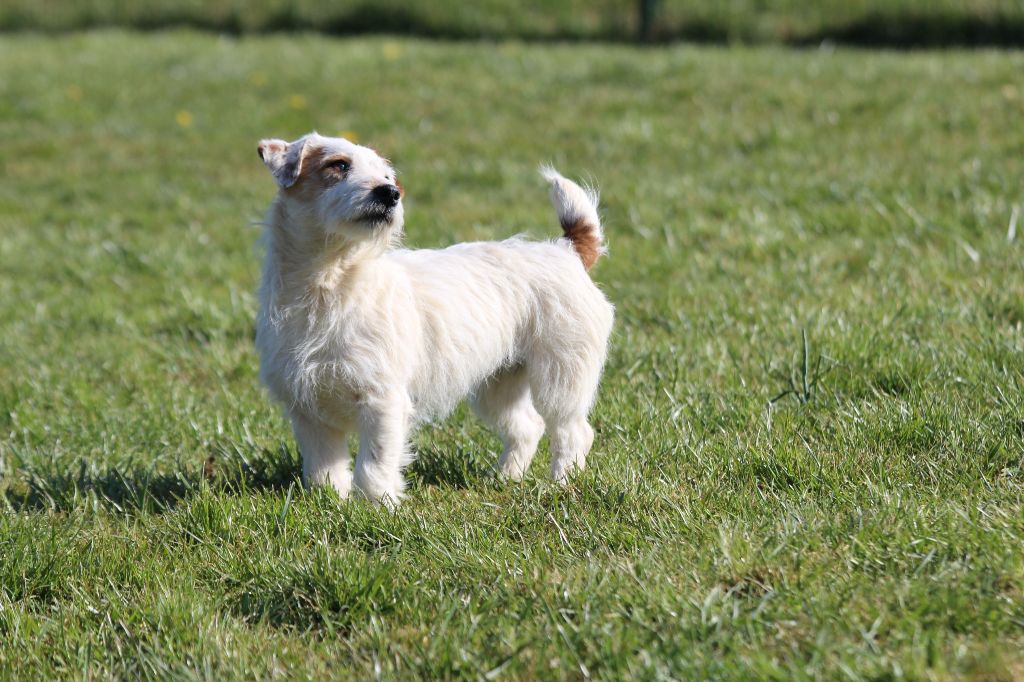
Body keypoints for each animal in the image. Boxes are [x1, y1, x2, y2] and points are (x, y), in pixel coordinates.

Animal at [254, 134, 610, 503]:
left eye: (388, 177)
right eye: (338, 165)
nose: (389, 193)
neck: (330, 280)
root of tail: (566, 251)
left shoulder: (382, 403)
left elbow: (374, 464)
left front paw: (377, 505)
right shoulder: (310, 413)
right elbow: (324, 468)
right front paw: (330, 502)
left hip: (561, 379)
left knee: (572, 432)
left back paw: (561, 483)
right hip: (499, 386)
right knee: (528, 427)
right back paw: (505, 479)